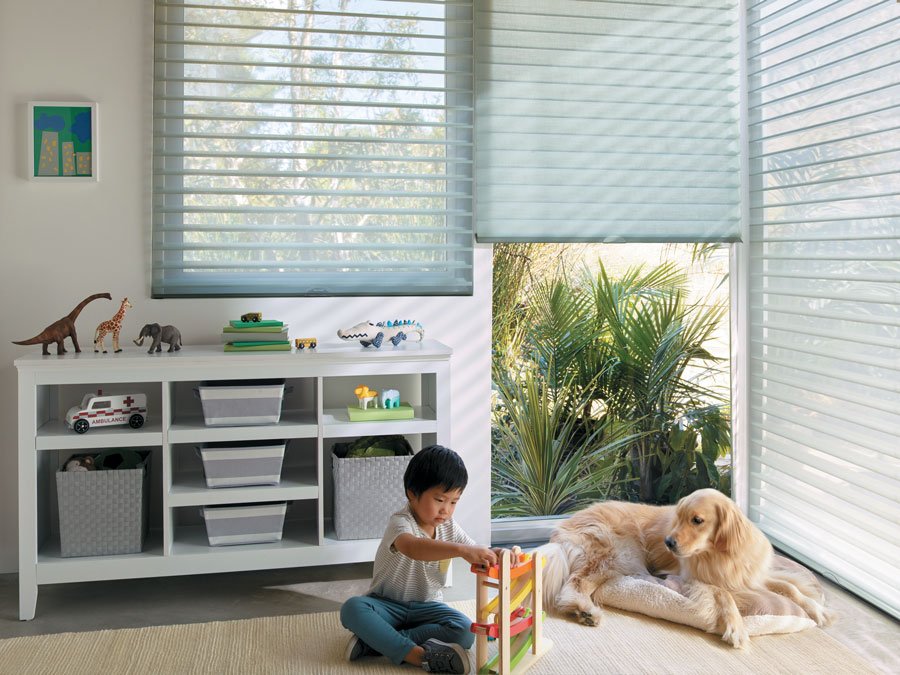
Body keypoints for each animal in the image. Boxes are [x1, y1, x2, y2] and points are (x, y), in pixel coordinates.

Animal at [536, 486, 836, 648]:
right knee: (575, 582)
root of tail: (562, 528)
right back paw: (584, 609)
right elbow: (724, 595)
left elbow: (789, 587)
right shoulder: (694, 580)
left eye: (697, 520)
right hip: (620, 554)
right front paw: (736, 628)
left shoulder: (751, 577)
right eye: (677, 517)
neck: (719, 554)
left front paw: (817, 610)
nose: (668, 542)